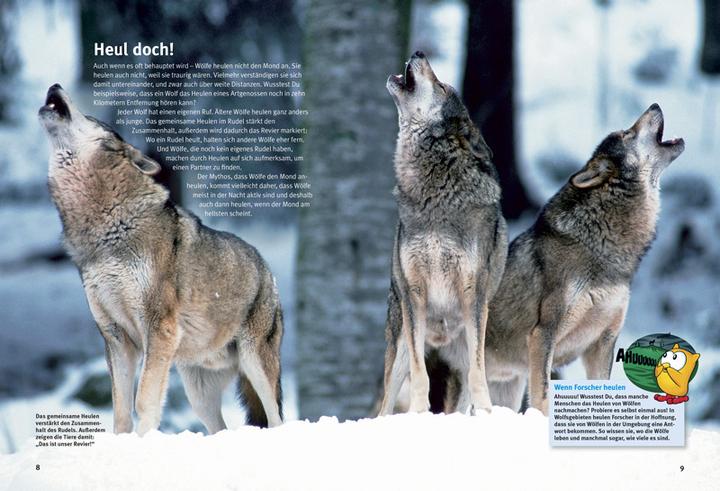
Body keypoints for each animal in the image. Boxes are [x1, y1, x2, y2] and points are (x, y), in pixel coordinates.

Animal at [39, 84, 283, 434]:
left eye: (90, 117)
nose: (55, 86)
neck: (107, 229)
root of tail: (267, 271)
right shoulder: (116, 337)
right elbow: (120, 412)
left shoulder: (158, 329)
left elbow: (144, 401)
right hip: (199, 393)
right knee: (220, 428)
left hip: (256, 367)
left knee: (277, 418)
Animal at [378, 52, 508, 415]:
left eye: (442, 86)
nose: (419, 52)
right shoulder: (414, 294)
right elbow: (420, 376)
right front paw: (418, 413)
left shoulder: (472, 294)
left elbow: (479, 376)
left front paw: (487, 414)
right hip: (400, 345)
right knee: (384, 404)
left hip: (464, 344)